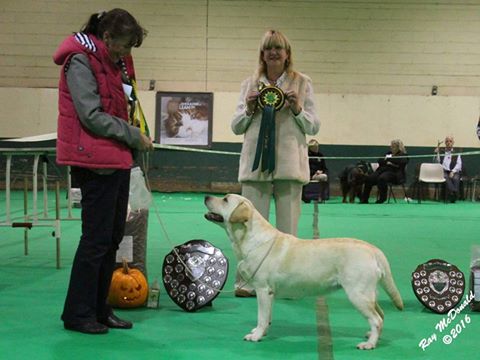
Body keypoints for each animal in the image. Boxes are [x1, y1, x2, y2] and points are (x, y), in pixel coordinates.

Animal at [204, 194, 404, 348]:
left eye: (225, 199)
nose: (206, 196)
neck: (250, 238)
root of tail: (372, 249)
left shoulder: (262, 289)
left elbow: (261, 316)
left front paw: (256, 335)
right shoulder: (270, 293)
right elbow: (267, 316)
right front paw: (263, 332)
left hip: (357, 294)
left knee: (376, 319)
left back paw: (369, 344)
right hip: (368, 293)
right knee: (380, 315)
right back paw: (371, 336)